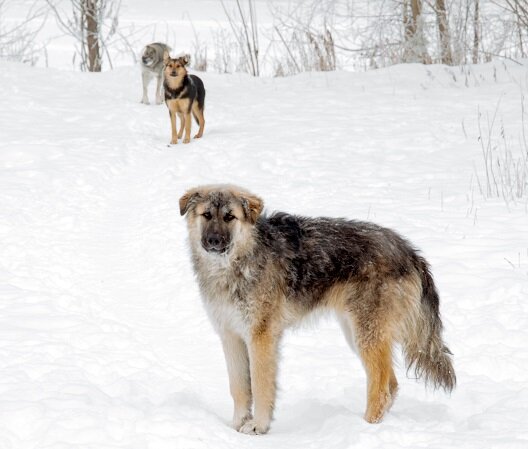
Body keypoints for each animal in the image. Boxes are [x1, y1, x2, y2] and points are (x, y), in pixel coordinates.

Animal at [179, 184, 456, 435]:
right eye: (207, 215)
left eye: (230, 217)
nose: (214, 241)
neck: (234, 265)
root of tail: (410, 251)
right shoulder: (230, 336)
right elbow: (238, 387)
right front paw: (236, 426)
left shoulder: (261, 338)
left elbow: (260, 386)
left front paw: (258, 426)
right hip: (357, 335)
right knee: (392, 385)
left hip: (366, 336)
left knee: (382, 390)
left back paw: (365, 430)